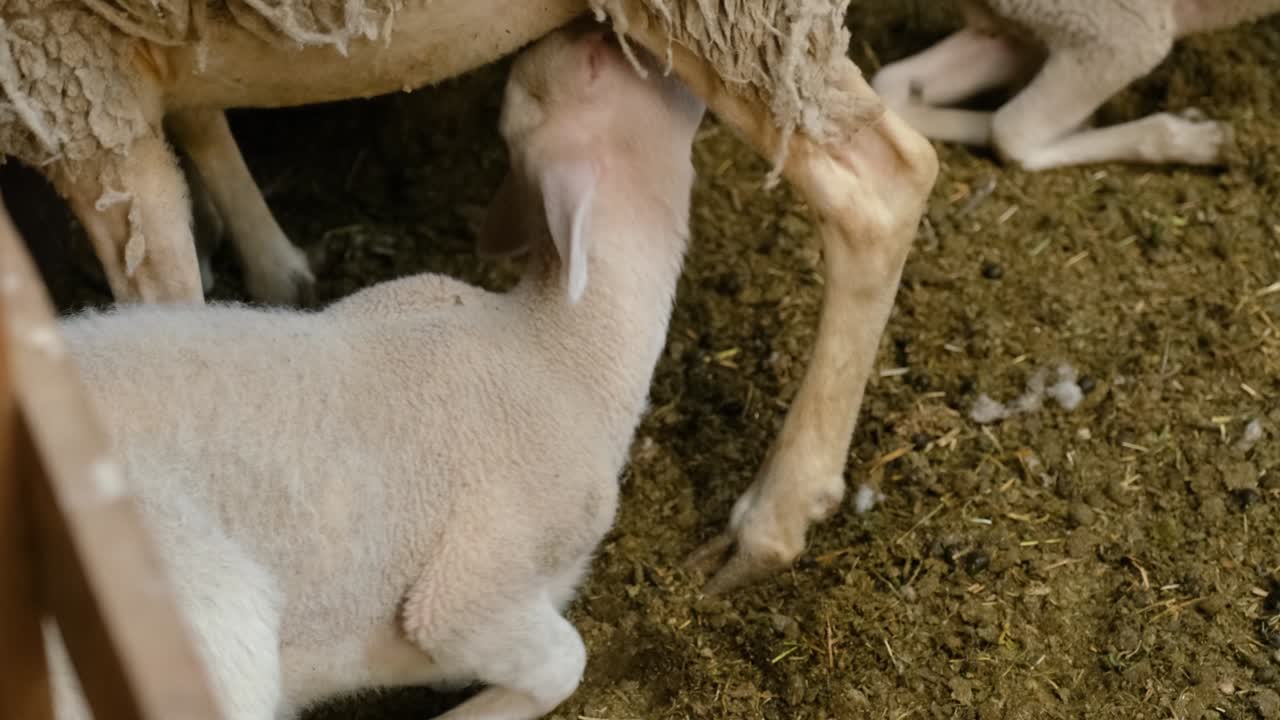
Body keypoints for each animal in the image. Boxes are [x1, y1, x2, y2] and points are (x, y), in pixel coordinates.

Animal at [4, 0, 940, 593]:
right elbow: (196, 114)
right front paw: (275, 271)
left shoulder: (61, 69)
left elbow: (159, 297)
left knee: (883, 184)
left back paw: (770, 521)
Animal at [45, 23, 705, 720]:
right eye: (600, 62)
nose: (597, 26)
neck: (560, 351)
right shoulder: (473, 576)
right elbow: (556, 661)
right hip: (210, 612)